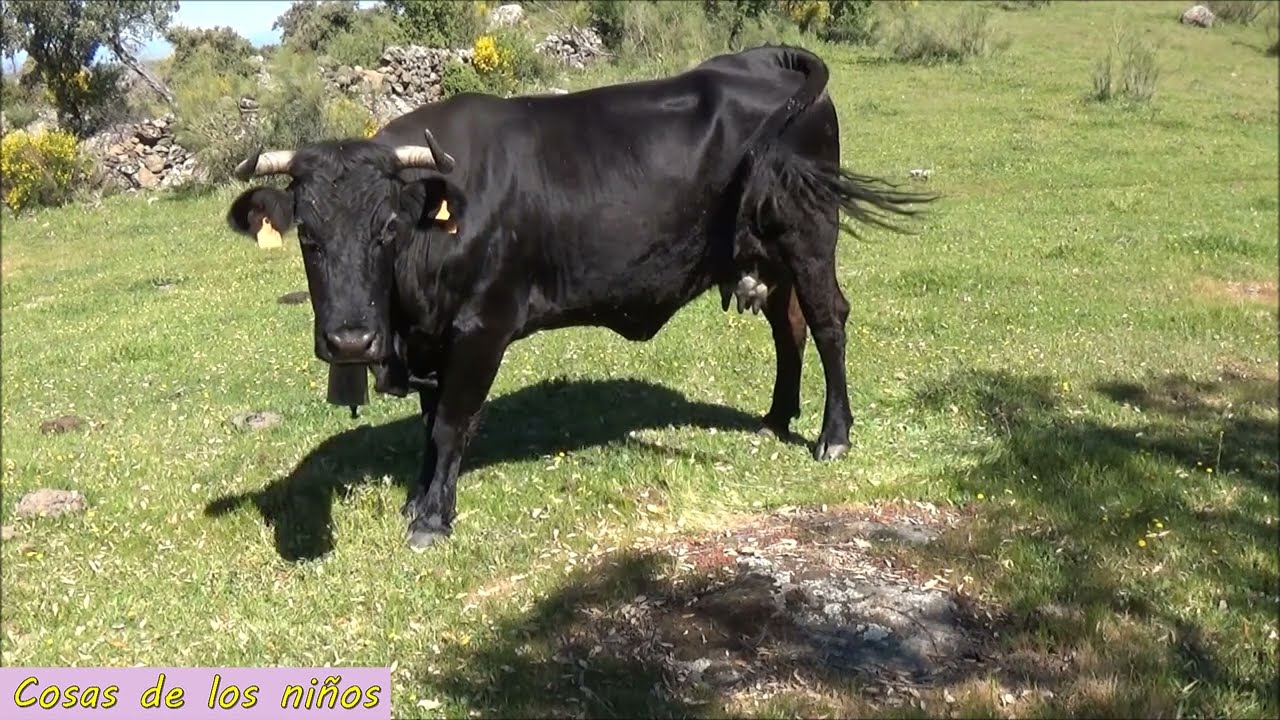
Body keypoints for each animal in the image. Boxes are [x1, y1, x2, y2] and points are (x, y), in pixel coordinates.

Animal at [224, 44, 938, 551]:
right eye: (308, 236)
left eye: (388, 230)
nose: (350, 340)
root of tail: (763, 58)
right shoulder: (432, 337)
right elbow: (430, 426)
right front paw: (420, 498)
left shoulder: (481, 328)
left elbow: (452, 420)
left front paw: (432, 520)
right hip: (766, 252)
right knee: (789, 329)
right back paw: (776, 417)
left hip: (810, 234)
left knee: (827, 320)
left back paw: (833, 435)